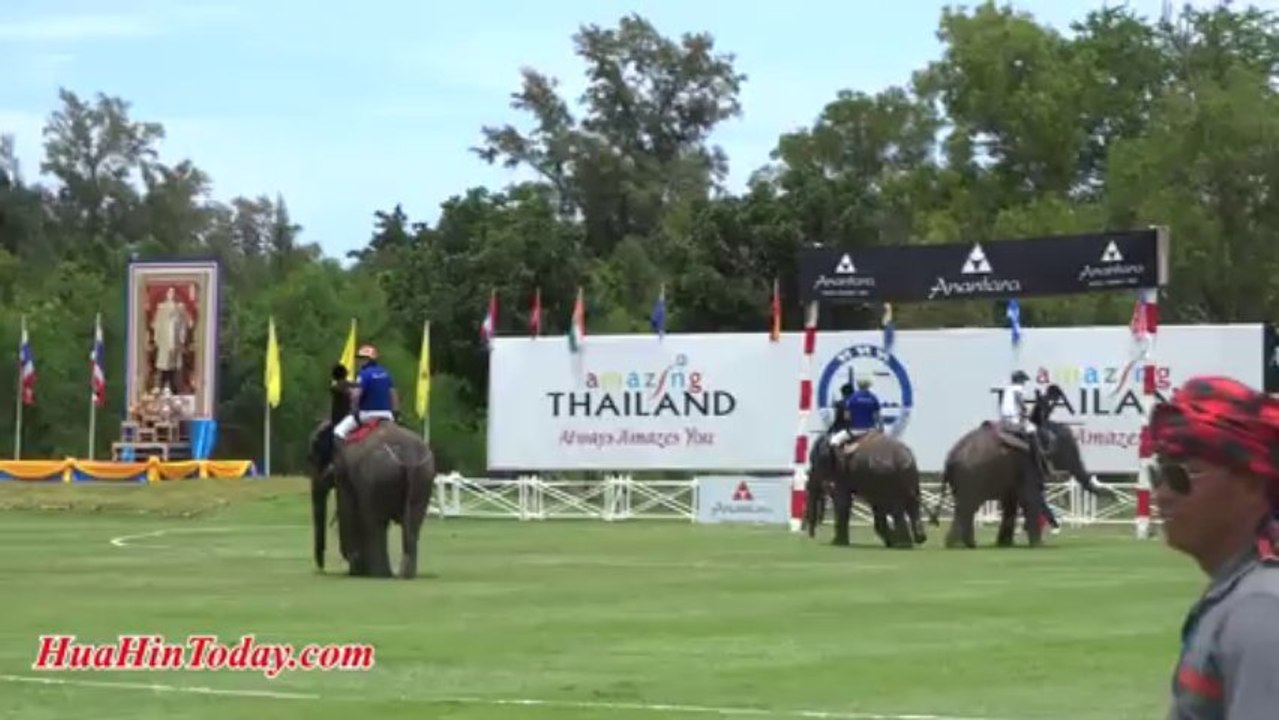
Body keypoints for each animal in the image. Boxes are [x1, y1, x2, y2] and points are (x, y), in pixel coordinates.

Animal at [329, 420, 436, 578]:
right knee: (413, 522)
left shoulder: (344, 476)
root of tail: (408, 455)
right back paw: (403, 574)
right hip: (423, 474)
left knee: (374, 521)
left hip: (378, 476)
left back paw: (380, 574)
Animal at [927, 418, 1101, 549]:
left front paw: (1005, 544)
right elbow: (1029, 498)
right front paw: (1038, 545)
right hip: (970, 477)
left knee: (964, 507)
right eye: (1068, 449)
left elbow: (1010, 503)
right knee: (967, 507)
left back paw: (960, 544)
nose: (1056, 526)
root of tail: (948, 460)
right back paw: (962, 544)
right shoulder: (1027, 463)